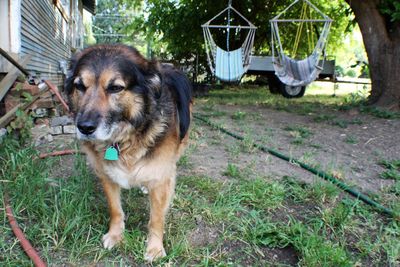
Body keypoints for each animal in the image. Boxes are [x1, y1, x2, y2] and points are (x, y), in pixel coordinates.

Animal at [64, 44, 192, 262]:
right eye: (79, 86)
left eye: (115, 87)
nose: (84, 128)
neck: (124, 138)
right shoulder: (107, 175)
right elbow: (115, 210)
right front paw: (116, 235)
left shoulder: (160, 177)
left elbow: (156, 218)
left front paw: (155, 248)